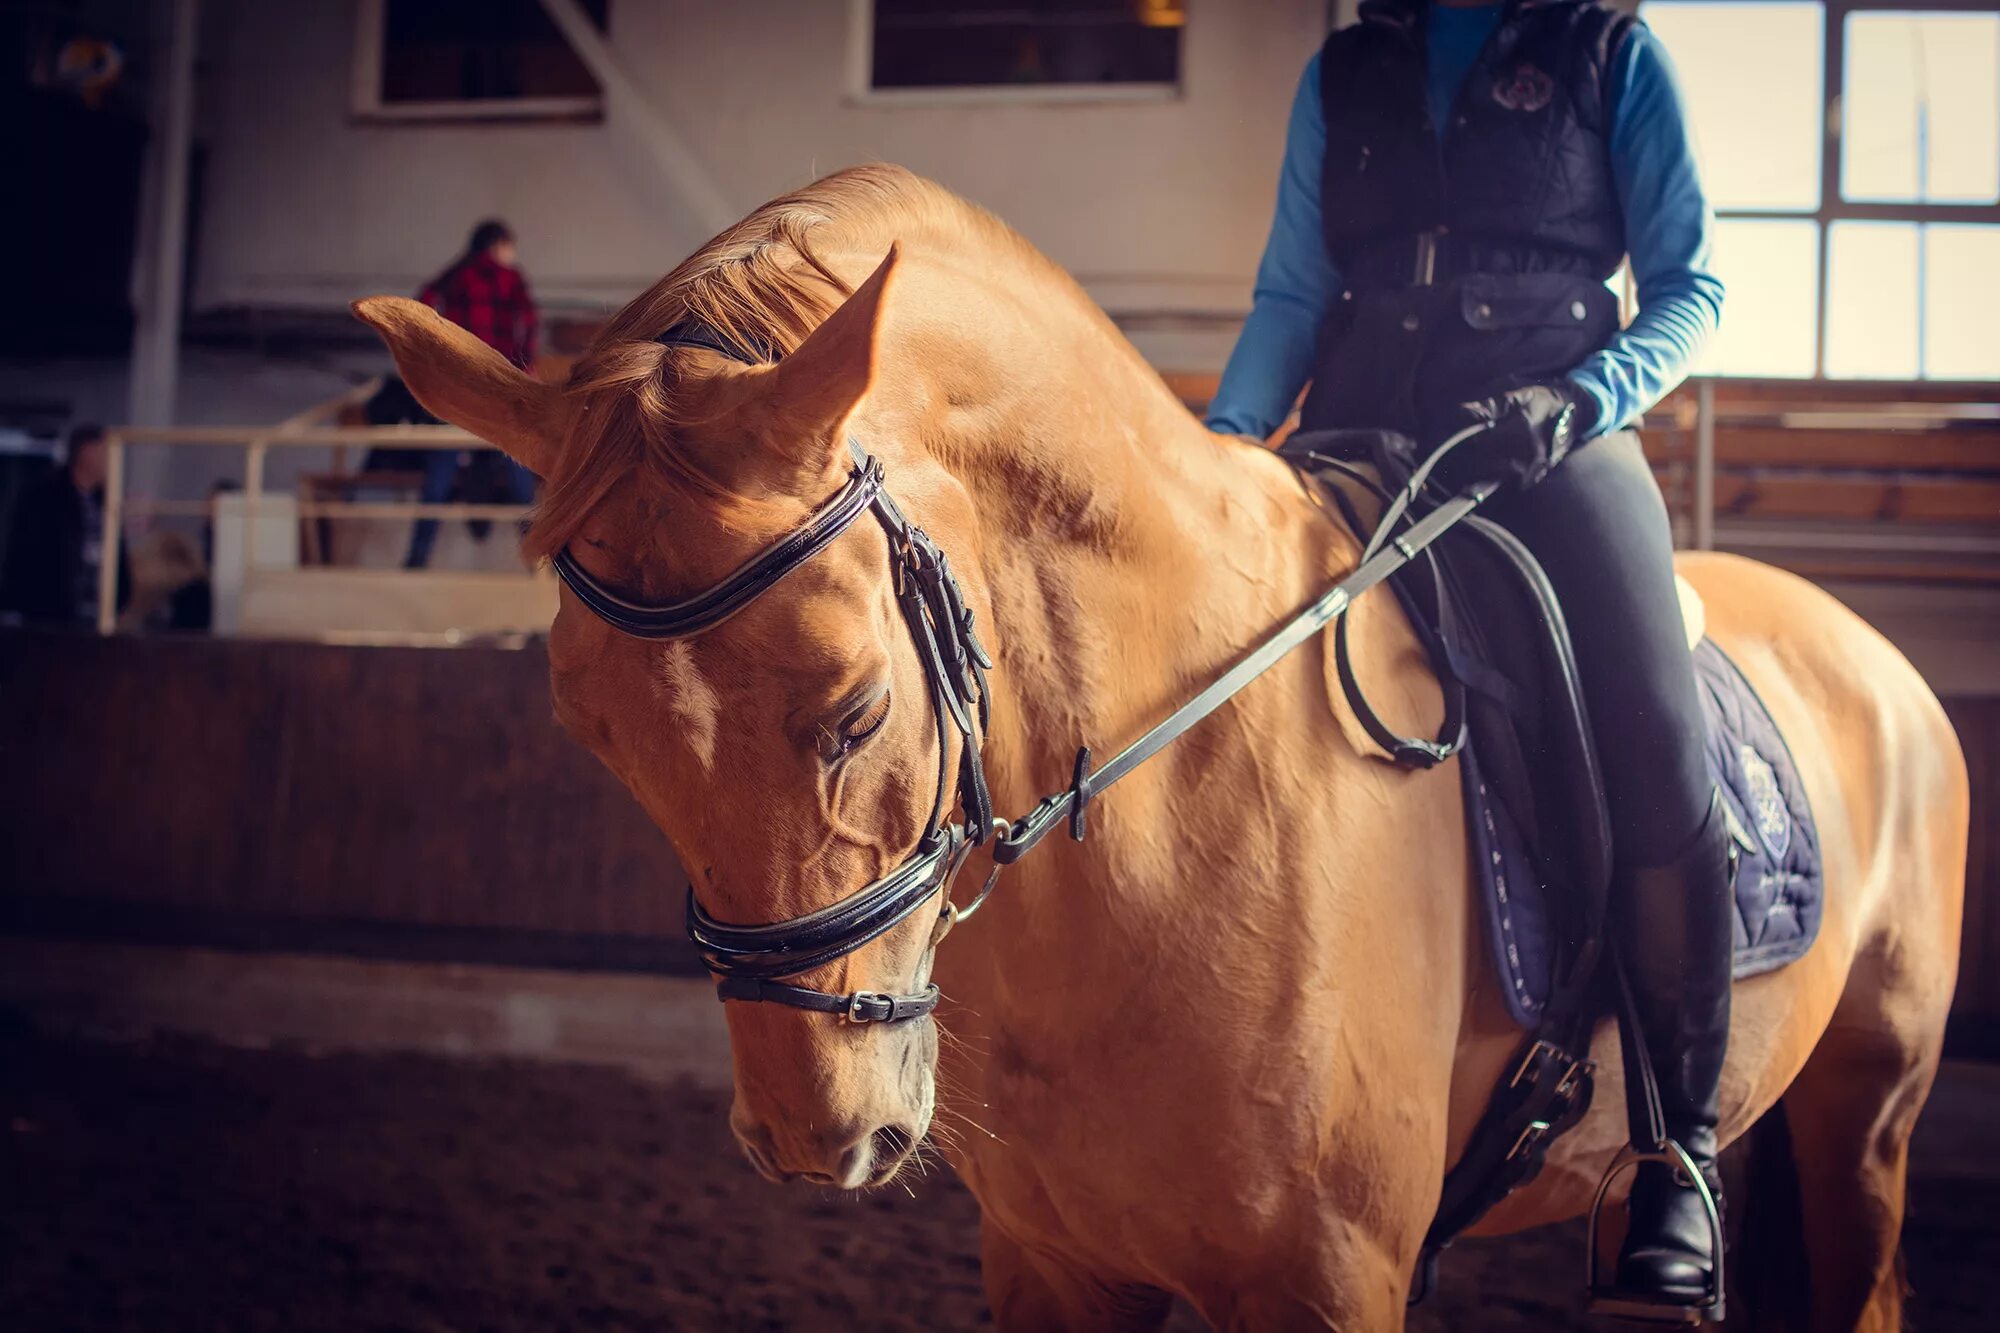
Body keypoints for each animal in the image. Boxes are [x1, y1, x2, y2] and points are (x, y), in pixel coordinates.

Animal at [360, 169, 1968, 1328]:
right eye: (593, 735)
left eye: (856, 709)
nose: (825, 1135)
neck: (1159, 844)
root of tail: (1876, 655)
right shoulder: (1055, 1265)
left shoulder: (1331, 1282)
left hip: (1867, 1111)